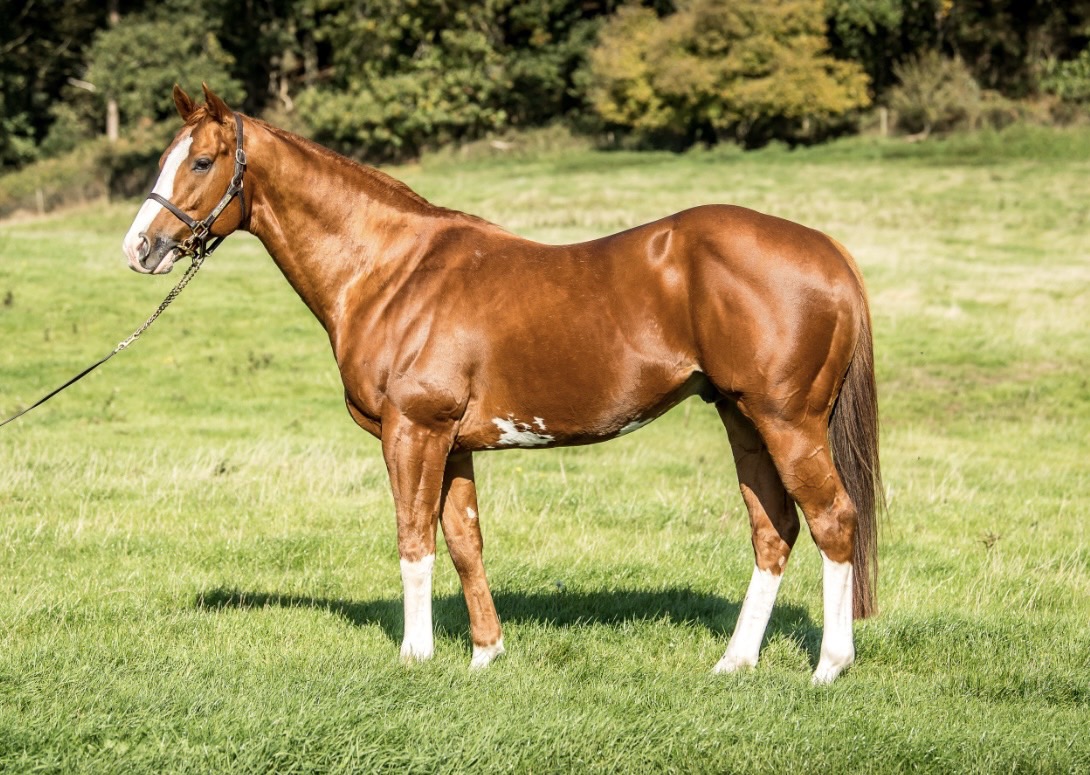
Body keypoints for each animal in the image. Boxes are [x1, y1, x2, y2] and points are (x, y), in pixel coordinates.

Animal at [123, 84, 881, 684]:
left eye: (200, 161)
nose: (138, 248)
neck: (391, 270)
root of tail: (829, 253)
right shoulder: (453, 443)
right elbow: (464, 542)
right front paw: (485, 653)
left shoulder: (413, 431)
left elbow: (413, 539)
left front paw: (415, 656)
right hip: (742, 419)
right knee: (774, 528)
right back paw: (735, 662)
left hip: (787, 422)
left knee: (833, 519)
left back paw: (828, 666)